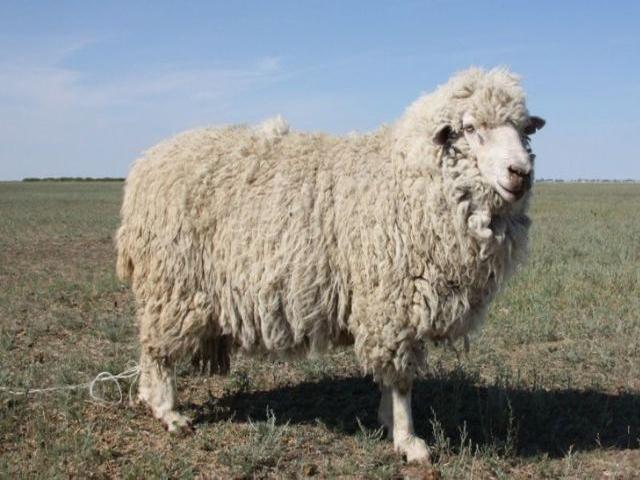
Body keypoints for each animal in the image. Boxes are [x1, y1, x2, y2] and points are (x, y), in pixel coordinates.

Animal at [115, 67, 545, 463]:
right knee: (157, 353)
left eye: (524, 129)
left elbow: (392, 377)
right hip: (173, 284)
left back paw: (149, 399)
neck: (409, 179)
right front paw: (408, 441)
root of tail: (143, 164)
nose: (521, 173)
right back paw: (168, 412)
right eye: (470, 128)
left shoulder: (395, 305)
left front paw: (388, 420)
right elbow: (402, 381)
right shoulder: (391, 300)